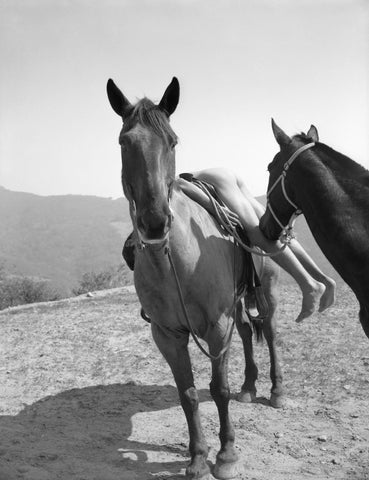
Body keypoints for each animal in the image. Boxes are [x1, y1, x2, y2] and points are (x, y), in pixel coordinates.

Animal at [108, 77, 280, 478]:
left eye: (172, 141)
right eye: (124, 141)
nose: (155, 222)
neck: (175, 265)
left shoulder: (215, 328)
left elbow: (218, 389)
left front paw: (227, 454)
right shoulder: (167, 335)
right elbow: (187, 395)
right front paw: (198, 455)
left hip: (263, 294)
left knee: (269, 330)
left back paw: (277, 389)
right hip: (235, 303)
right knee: (246, 332)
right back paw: (249, 385)